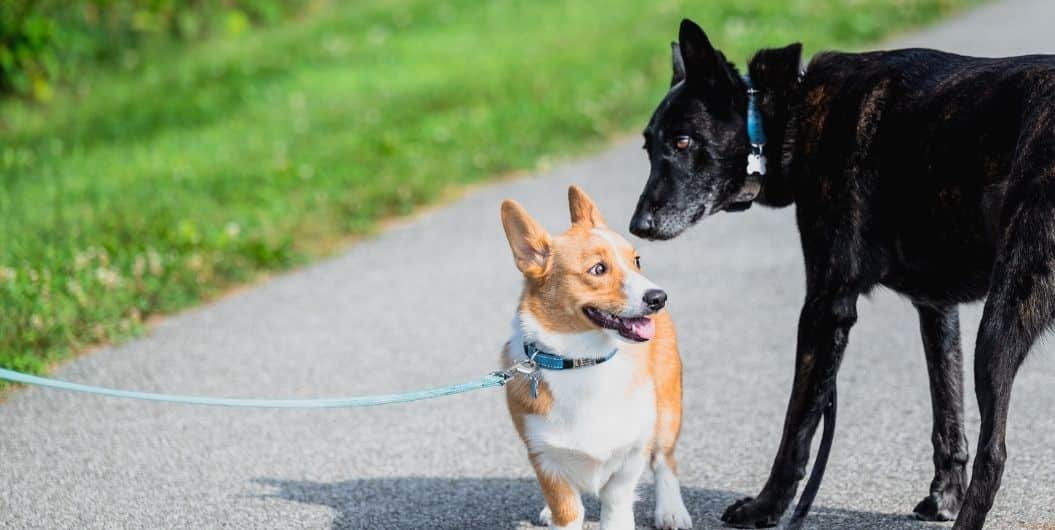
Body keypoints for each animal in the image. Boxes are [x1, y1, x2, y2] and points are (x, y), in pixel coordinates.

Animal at [500, 185, 692, 530]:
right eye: (598, 269)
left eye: (636, 260)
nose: (659, 297)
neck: (583, 361)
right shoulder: (544, 459)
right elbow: (567, 510)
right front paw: (557, 514)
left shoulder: (631, 454)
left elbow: (616, 503)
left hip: (667, 411)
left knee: (664, 460)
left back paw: (672, 510)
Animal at [628, 17, 1050, 530]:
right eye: (648, 147)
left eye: (684, 141)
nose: (638, 226)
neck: (791, 110)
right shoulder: (936, 308)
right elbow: (946, 411)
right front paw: (944, 493)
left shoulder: (825, 307)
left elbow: (797, 426)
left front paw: (766, 507)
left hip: (1000, 326)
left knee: (996, 453)